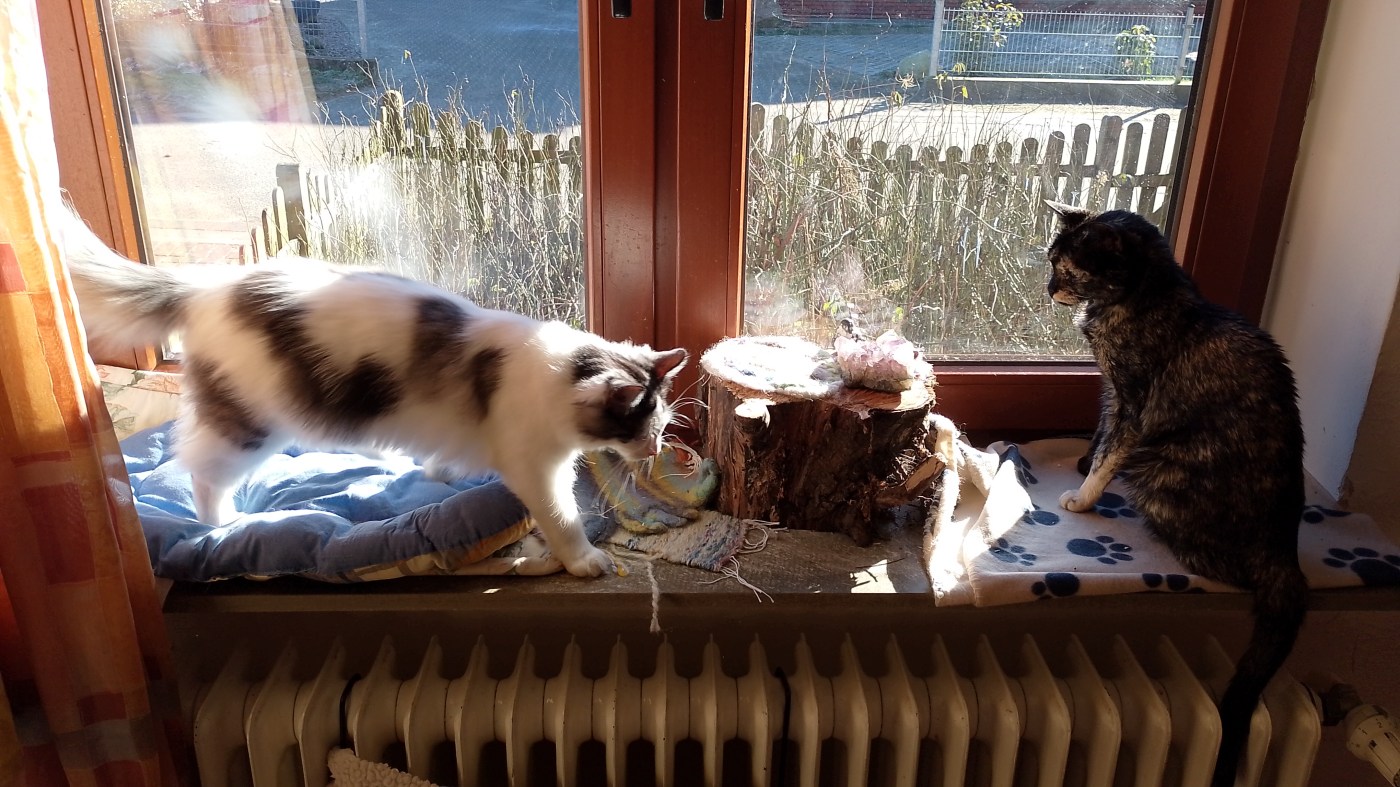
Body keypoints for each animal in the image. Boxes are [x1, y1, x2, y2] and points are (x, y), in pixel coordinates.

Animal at [60, 210, 687, 578]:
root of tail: (211, 285)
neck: (555, 371)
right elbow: (562, 517)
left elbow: (446, 459)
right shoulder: (536, 467)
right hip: (249, 424)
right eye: (642, 428)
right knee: (202, 472)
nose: (656, 451)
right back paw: (221, 523)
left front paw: (441, 474)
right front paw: (583, 560)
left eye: (660, 428)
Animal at [1045, 202, 1307, 787]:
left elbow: (1110, 450)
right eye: (1052, 263)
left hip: (1160, 466)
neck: (1146, 297)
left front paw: (1083, 496)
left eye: (1066, 269)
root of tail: (1286, 542)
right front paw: (1080, 465)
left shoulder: (1135, 403)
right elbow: (1099, 432)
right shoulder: (1112, 392)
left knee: (1226, 567)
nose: (1048, 289)